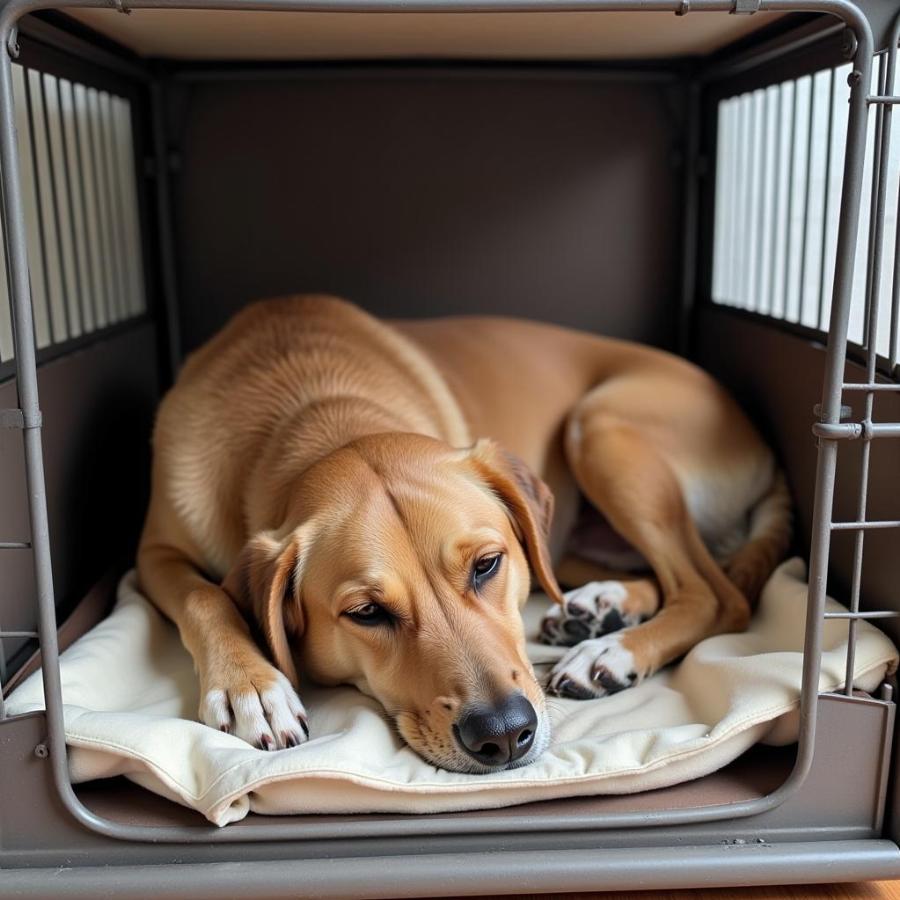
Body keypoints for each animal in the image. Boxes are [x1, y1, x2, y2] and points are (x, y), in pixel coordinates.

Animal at [137, 296, 792, 772]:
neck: (316, 407)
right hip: (570, 526)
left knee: (714, 594)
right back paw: (599, 607)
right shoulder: (154, 555)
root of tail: (767, 455)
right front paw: (252, 685)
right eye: (367, 613)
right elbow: (205, 595)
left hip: (599, 426)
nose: (504, 735)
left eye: (487, 565)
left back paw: (608, 651)